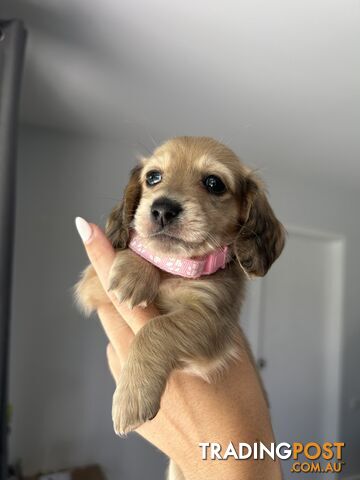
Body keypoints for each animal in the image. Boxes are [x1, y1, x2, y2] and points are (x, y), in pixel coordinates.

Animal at [74, 136, 286, 480]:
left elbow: (156, 328)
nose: (162, 209)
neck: (177, 270)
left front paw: (131, 397)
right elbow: (141, 250)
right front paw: (136, 271)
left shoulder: (214, 321)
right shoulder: (94, 279)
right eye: (153, 177)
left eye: (214, 183)